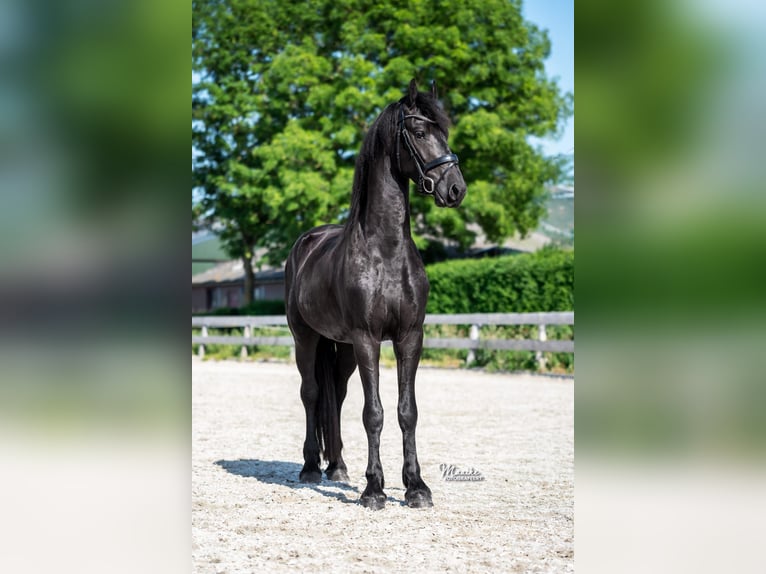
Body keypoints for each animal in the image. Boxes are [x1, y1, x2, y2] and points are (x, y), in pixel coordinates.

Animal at [285, 79, 466, 509]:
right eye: (419, 131)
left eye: (444, 131)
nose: (456, 189)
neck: (385, 249)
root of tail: (306, 242)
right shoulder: (368, 339)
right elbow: (374, 413)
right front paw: (374, 489)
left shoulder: (409, 336)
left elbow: (406, 411)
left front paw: (416, 487)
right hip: (306, 338)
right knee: (311, 393)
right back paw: (310, 467)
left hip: (343, 348)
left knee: (335, 394)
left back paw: (337, 467)